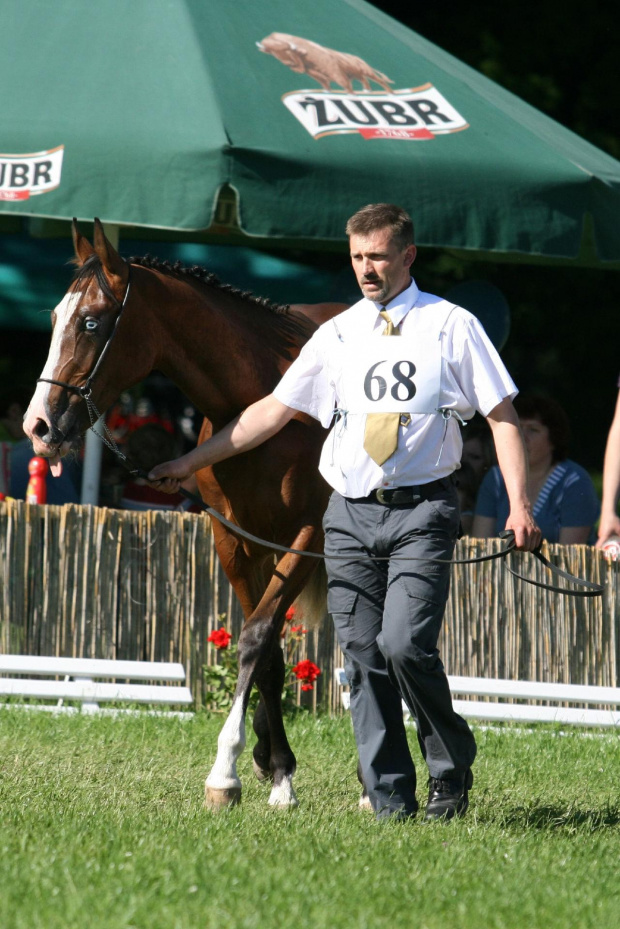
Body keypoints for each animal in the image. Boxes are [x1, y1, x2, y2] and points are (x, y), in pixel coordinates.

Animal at [24, 218, 348, 804]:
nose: (37, 426)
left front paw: (229, 769)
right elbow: (267, 653)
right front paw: (274, 763)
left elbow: (256, 638)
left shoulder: (305, 538)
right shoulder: (236, 542)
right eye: (56, 318)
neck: (265, 403)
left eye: (91, 321)